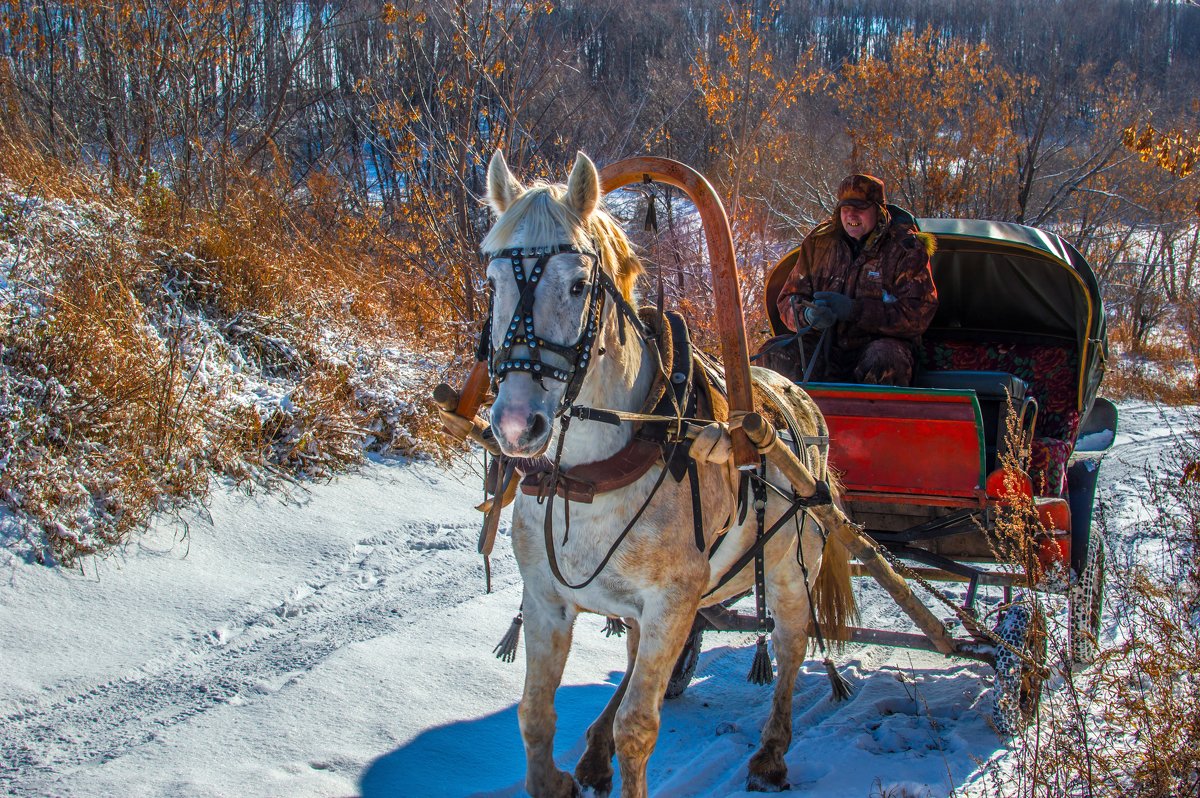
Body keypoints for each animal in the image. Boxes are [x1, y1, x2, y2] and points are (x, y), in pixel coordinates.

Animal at [482, 151, 859, 796]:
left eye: (577, 285)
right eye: (494, 282)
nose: (514, 423)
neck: (591, 479)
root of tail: (804, 401)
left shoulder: (671, 602)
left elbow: (639, 725)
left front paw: (616, 749)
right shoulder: (546, 598)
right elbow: (534, 713)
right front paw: (558, 776)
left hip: (790, 568)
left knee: (789, 645)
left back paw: (771, 752)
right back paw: (594, 751)